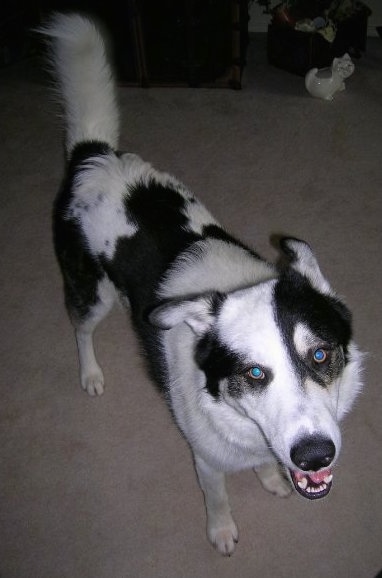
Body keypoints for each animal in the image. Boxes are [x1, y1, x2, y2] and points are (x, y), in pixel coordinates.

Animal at [41, 13, 364, 552]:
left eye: (320, 355)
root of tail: (94, 153)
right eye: (253, 373)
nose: (316, 456)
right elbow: (217, 499)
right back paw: (90, 373)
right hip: (91, 290)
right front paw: (222, 532)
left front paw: (271, 480)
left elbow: (265, 467)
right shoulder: (207, 459)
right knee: (81, 328)